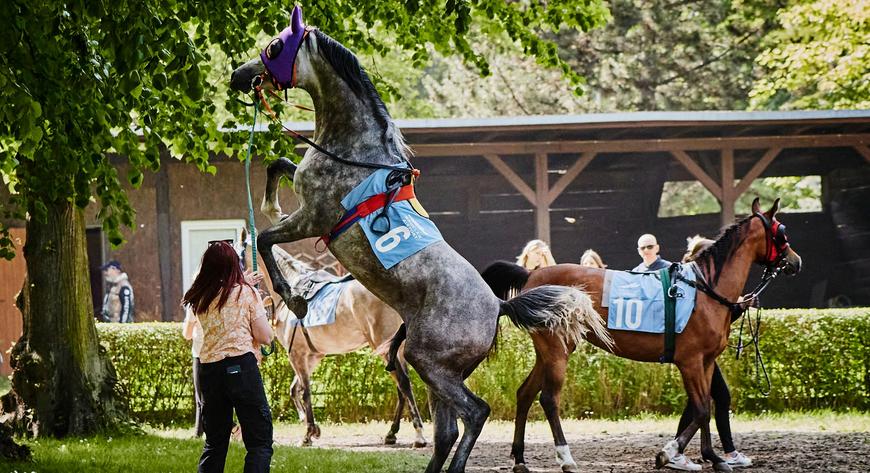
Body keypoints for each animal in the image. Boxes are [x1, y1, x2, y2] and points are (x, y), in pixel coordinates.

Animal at [232, 8, 612, 472]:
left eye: (274, 46)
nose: (238, 75)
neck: (358, 153)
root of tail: (499, 305)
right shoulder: (305, 200)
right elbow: (278, 165)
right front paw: (271, 206)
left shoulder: (314, 218)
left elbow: (268, 238)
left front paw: (294, 297)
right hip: (440, 370)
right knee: (447, 430)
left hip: (425, 362)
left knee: (475, 413)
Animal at [484, 199, 804, 472]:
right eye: (781, 231)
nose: (795, 261)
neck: (705, 290)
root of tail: (530, 275)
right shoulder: (689, 361)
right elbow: (701, 409)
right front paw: (668, 453)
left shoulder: (707, 362)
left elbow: (706, 406)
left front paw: (712, 457)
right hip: (557, 348)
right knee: (549, 399)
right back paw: (566, 459)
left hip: (551, 350)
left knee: (525, 393)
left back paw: (520, 459)